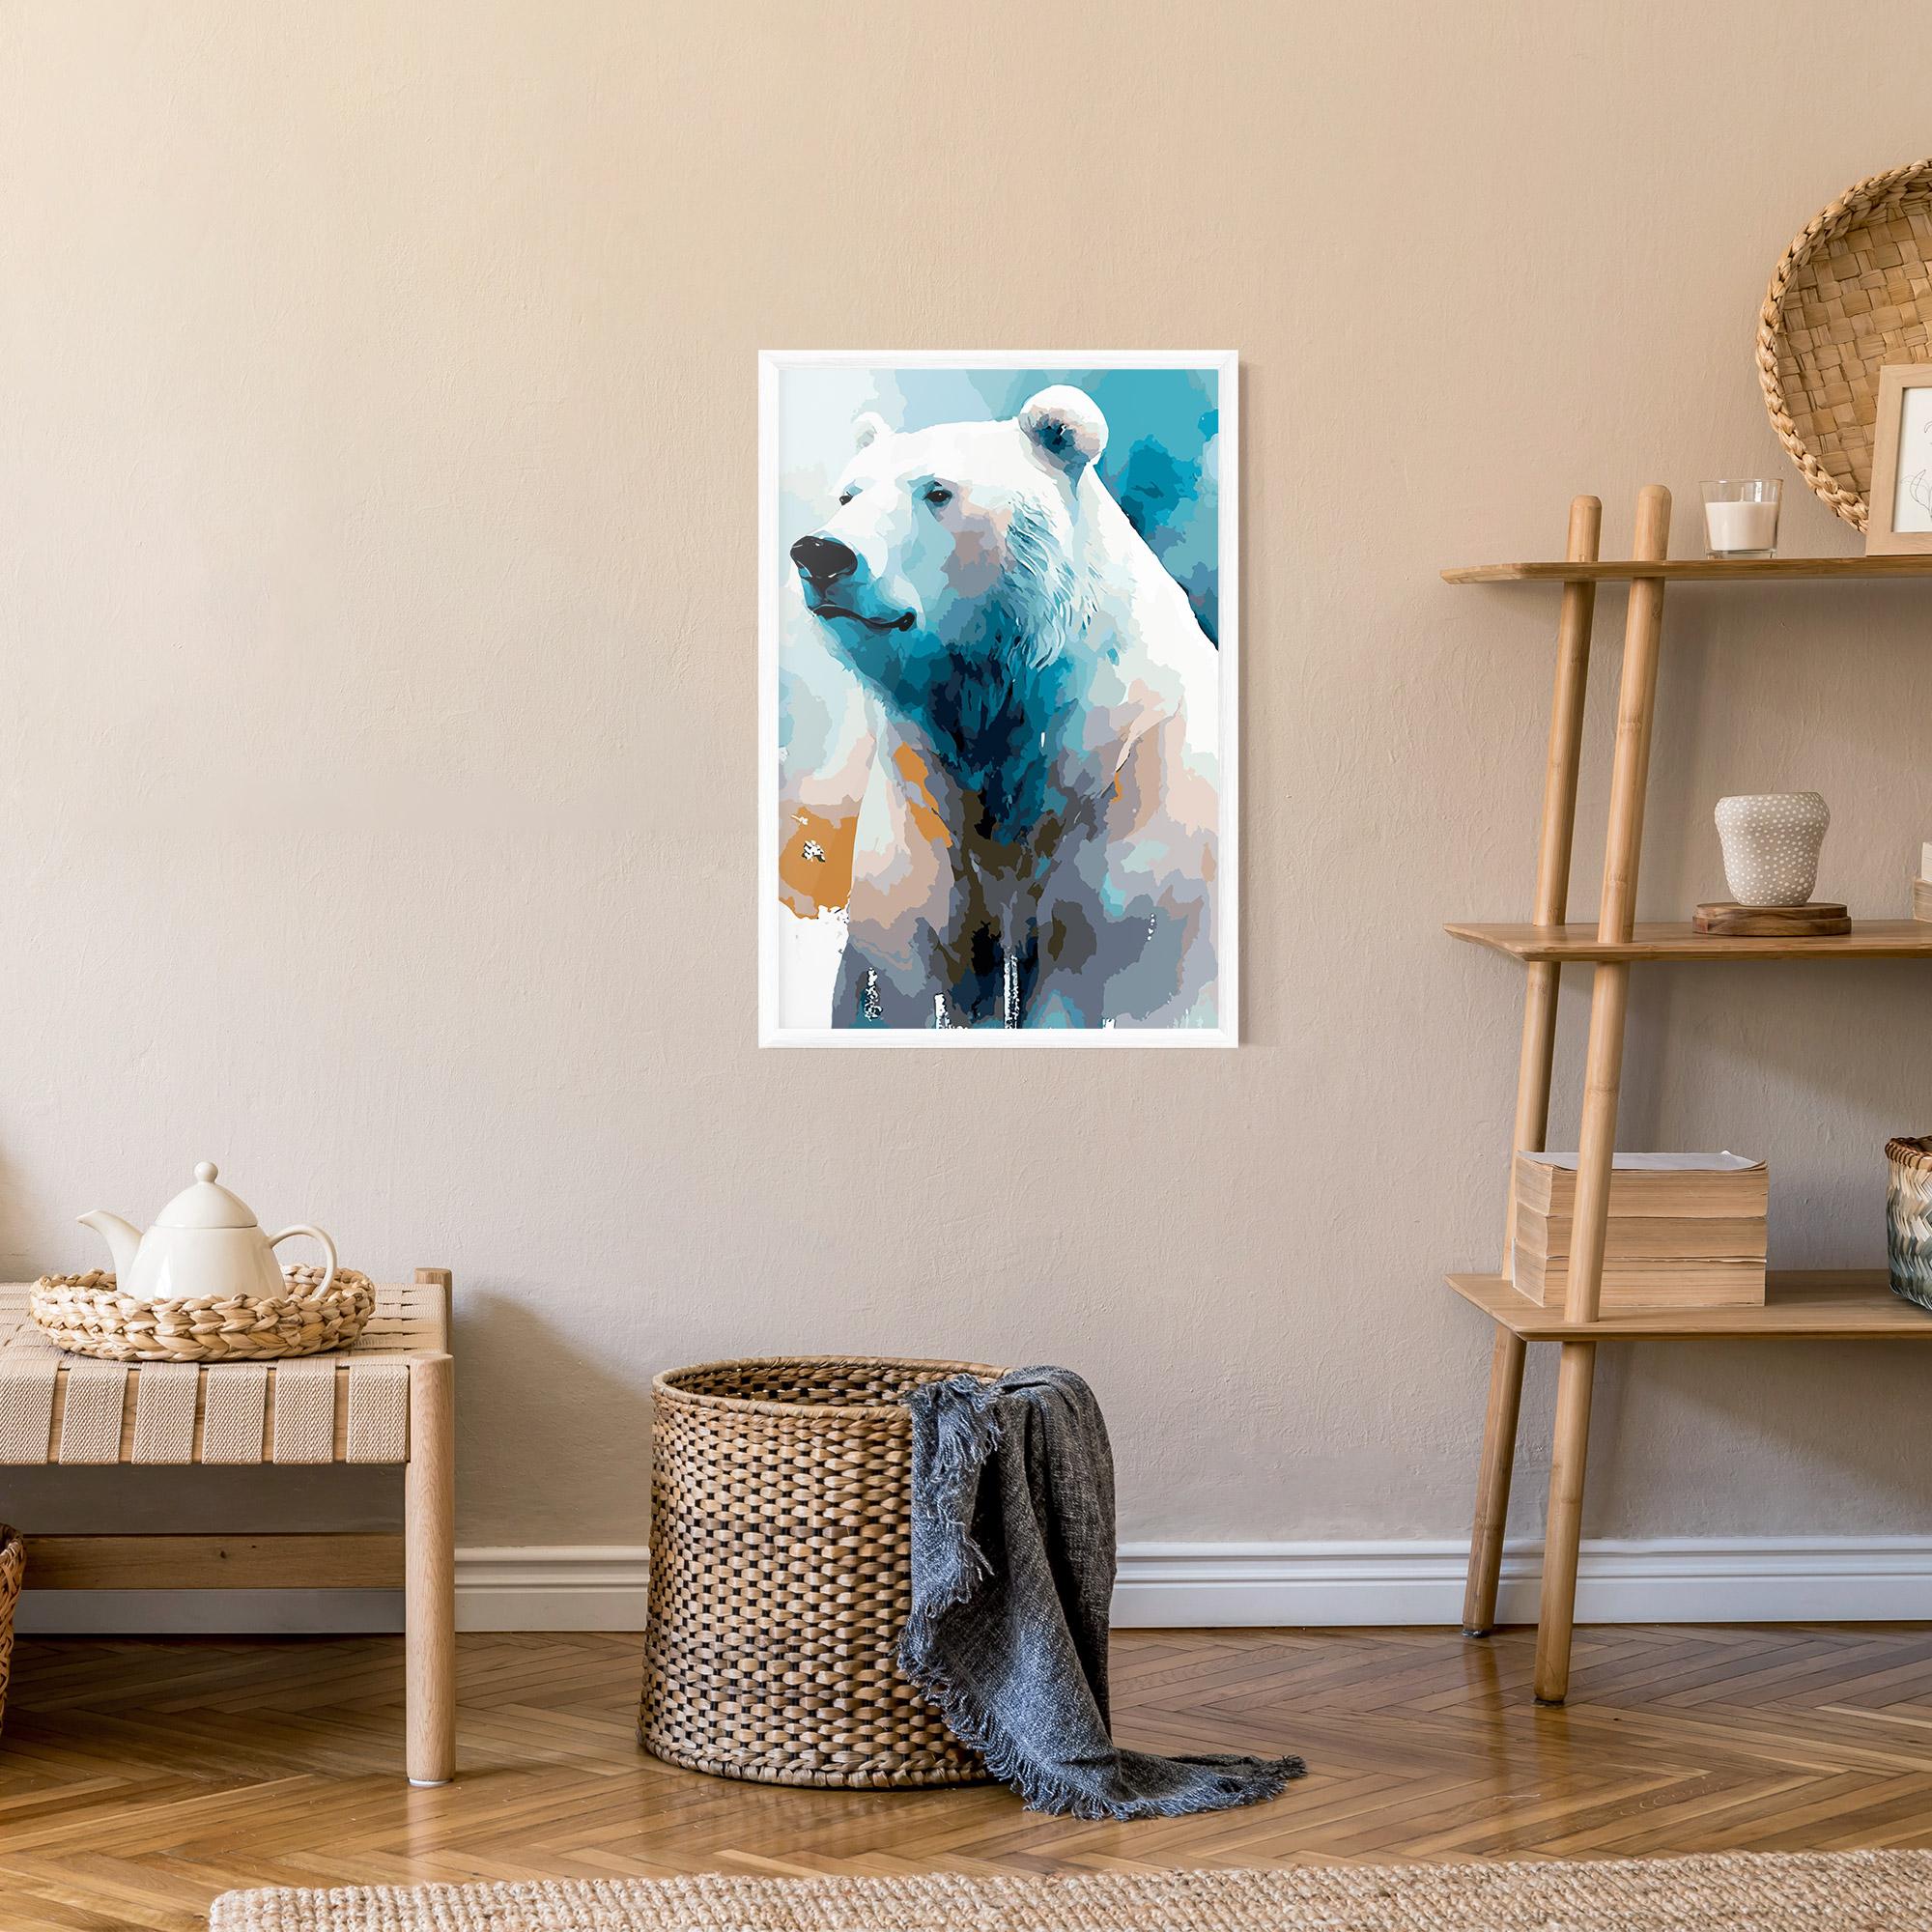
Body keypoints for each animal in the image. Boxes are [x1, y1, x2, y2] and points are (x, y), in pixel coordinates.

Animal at [785, 385, 1221, 1030]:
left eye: (937, 491)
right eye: (848, 493)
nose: (820, 553)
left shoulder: (1140, 821)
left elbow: (1124, 981)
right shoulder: (922, 816)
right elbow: (899, 975)